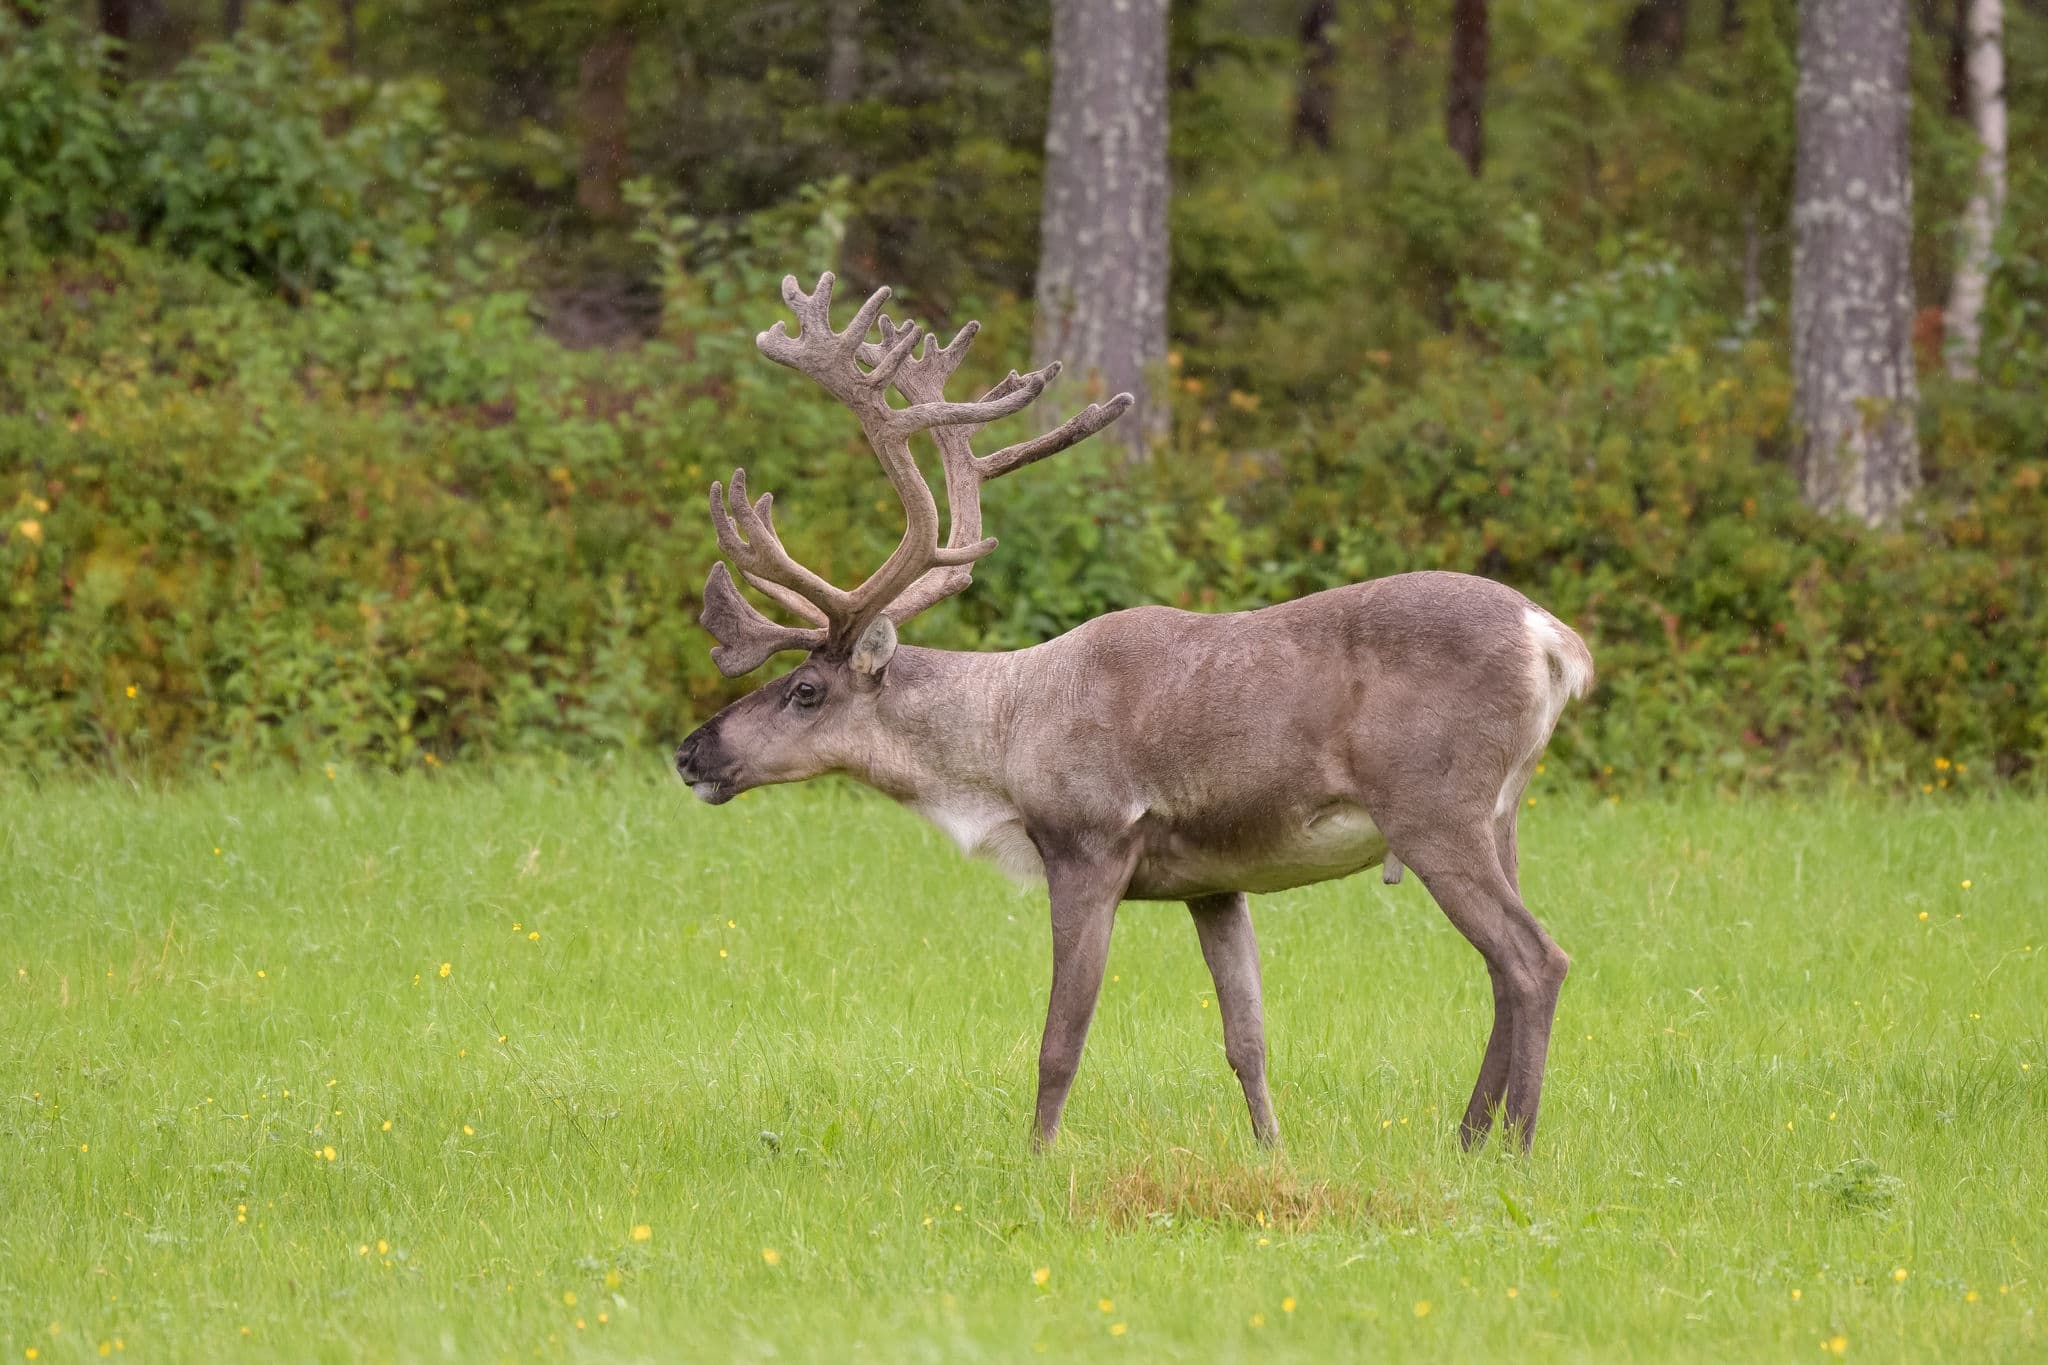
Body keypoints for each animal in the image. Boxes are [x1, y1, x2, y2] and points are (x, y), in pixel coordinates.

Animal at [675, 273, 1595, 1152]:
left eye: (806, 690)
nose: (690, 752)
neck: (1003, 741)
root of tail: (1555, 641)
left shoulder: (1089, 843)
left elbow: (1060, 1041)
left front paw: (1037, 1159)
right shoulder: (1216, 882)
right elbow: (1247, 1039)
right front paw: (1271, 1152)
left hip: (1433, 808)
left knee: (1535, 958)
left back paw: (1511, 1145)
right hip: (1502, 813)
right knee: (1502, 968)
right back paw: (1468, 1138)